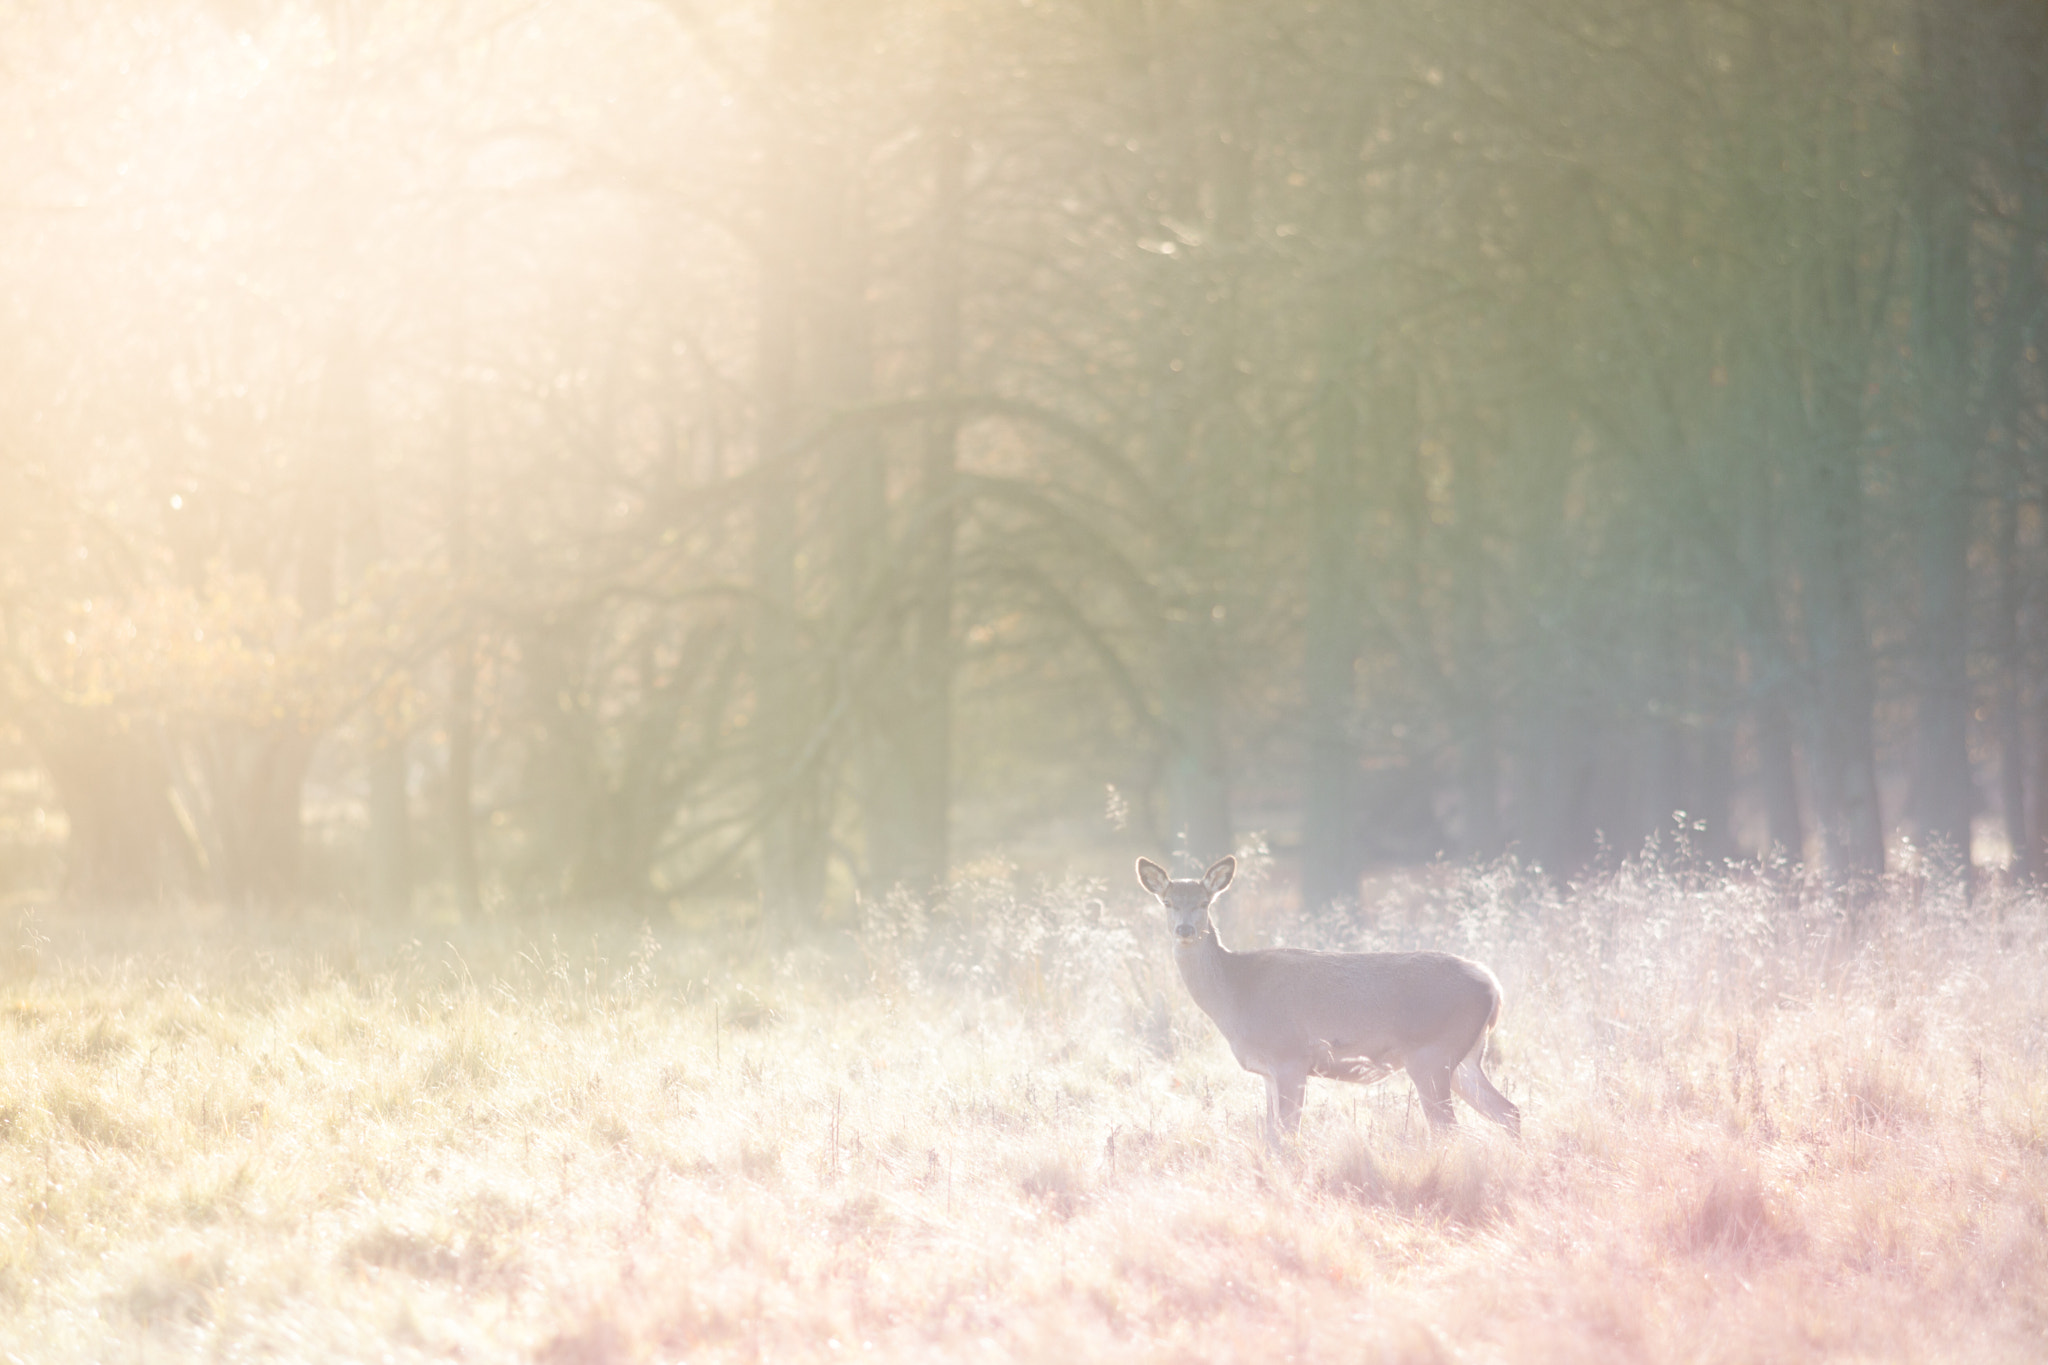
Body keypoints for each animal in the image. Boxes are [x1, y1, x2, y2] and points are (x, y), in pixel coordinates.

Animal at [1137, 855, 1521, 1148]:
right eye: (1168, 903)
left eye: (1204, 903)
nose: (1185, 930)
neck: (1235, 996)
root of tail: (1494, 985)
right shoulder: (1267, 1071)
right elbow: (1270, 1134)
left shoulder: (1290, 1056)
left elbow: (1287, 1134)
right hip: (1465, 1058)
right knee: (1509, 1111)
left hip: (1432, 1054)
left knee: (1448, 1128)